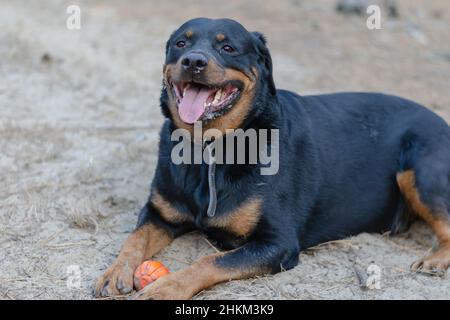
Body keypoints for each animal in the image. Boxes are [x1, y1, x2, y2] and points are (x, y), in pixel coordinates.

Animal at [95, 18, 450, 300]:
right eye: (181, 43)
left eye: (228, 48)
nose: (193, 61)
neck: (211, 149)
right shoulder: (160, 213)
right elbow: (134, 238)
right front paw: (115, 271)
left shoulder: (277, 243)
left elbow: (209, 261)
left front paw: (166, 288)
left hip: (419, 170)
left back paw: (434, 260)